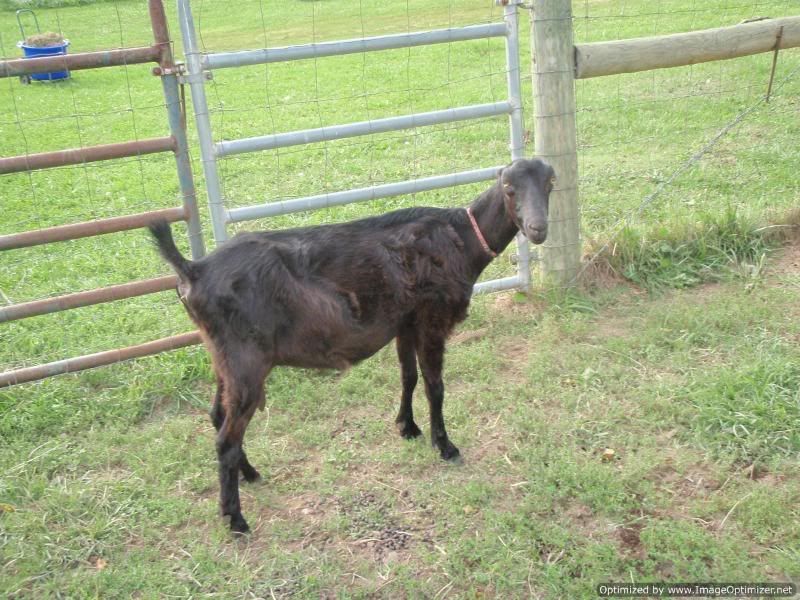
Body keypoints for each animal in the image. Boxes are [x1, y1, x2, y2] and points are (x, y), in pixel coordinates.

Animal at [149, 157, 555, 533]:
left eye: (550, 183)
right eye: (509, 189)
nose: (538, 229)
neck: (460, 240)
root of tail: (193, 271)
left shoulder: (405, 322)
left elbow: (407, 377)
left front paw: (407, 427)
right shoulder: (431, 319)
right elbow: (434, 387)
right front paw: (445, 446)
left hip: (223, 357)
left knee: (218, 417)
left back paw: (249, 474)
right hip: (246, 359)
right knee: (226, 438)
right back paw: (235, 519)